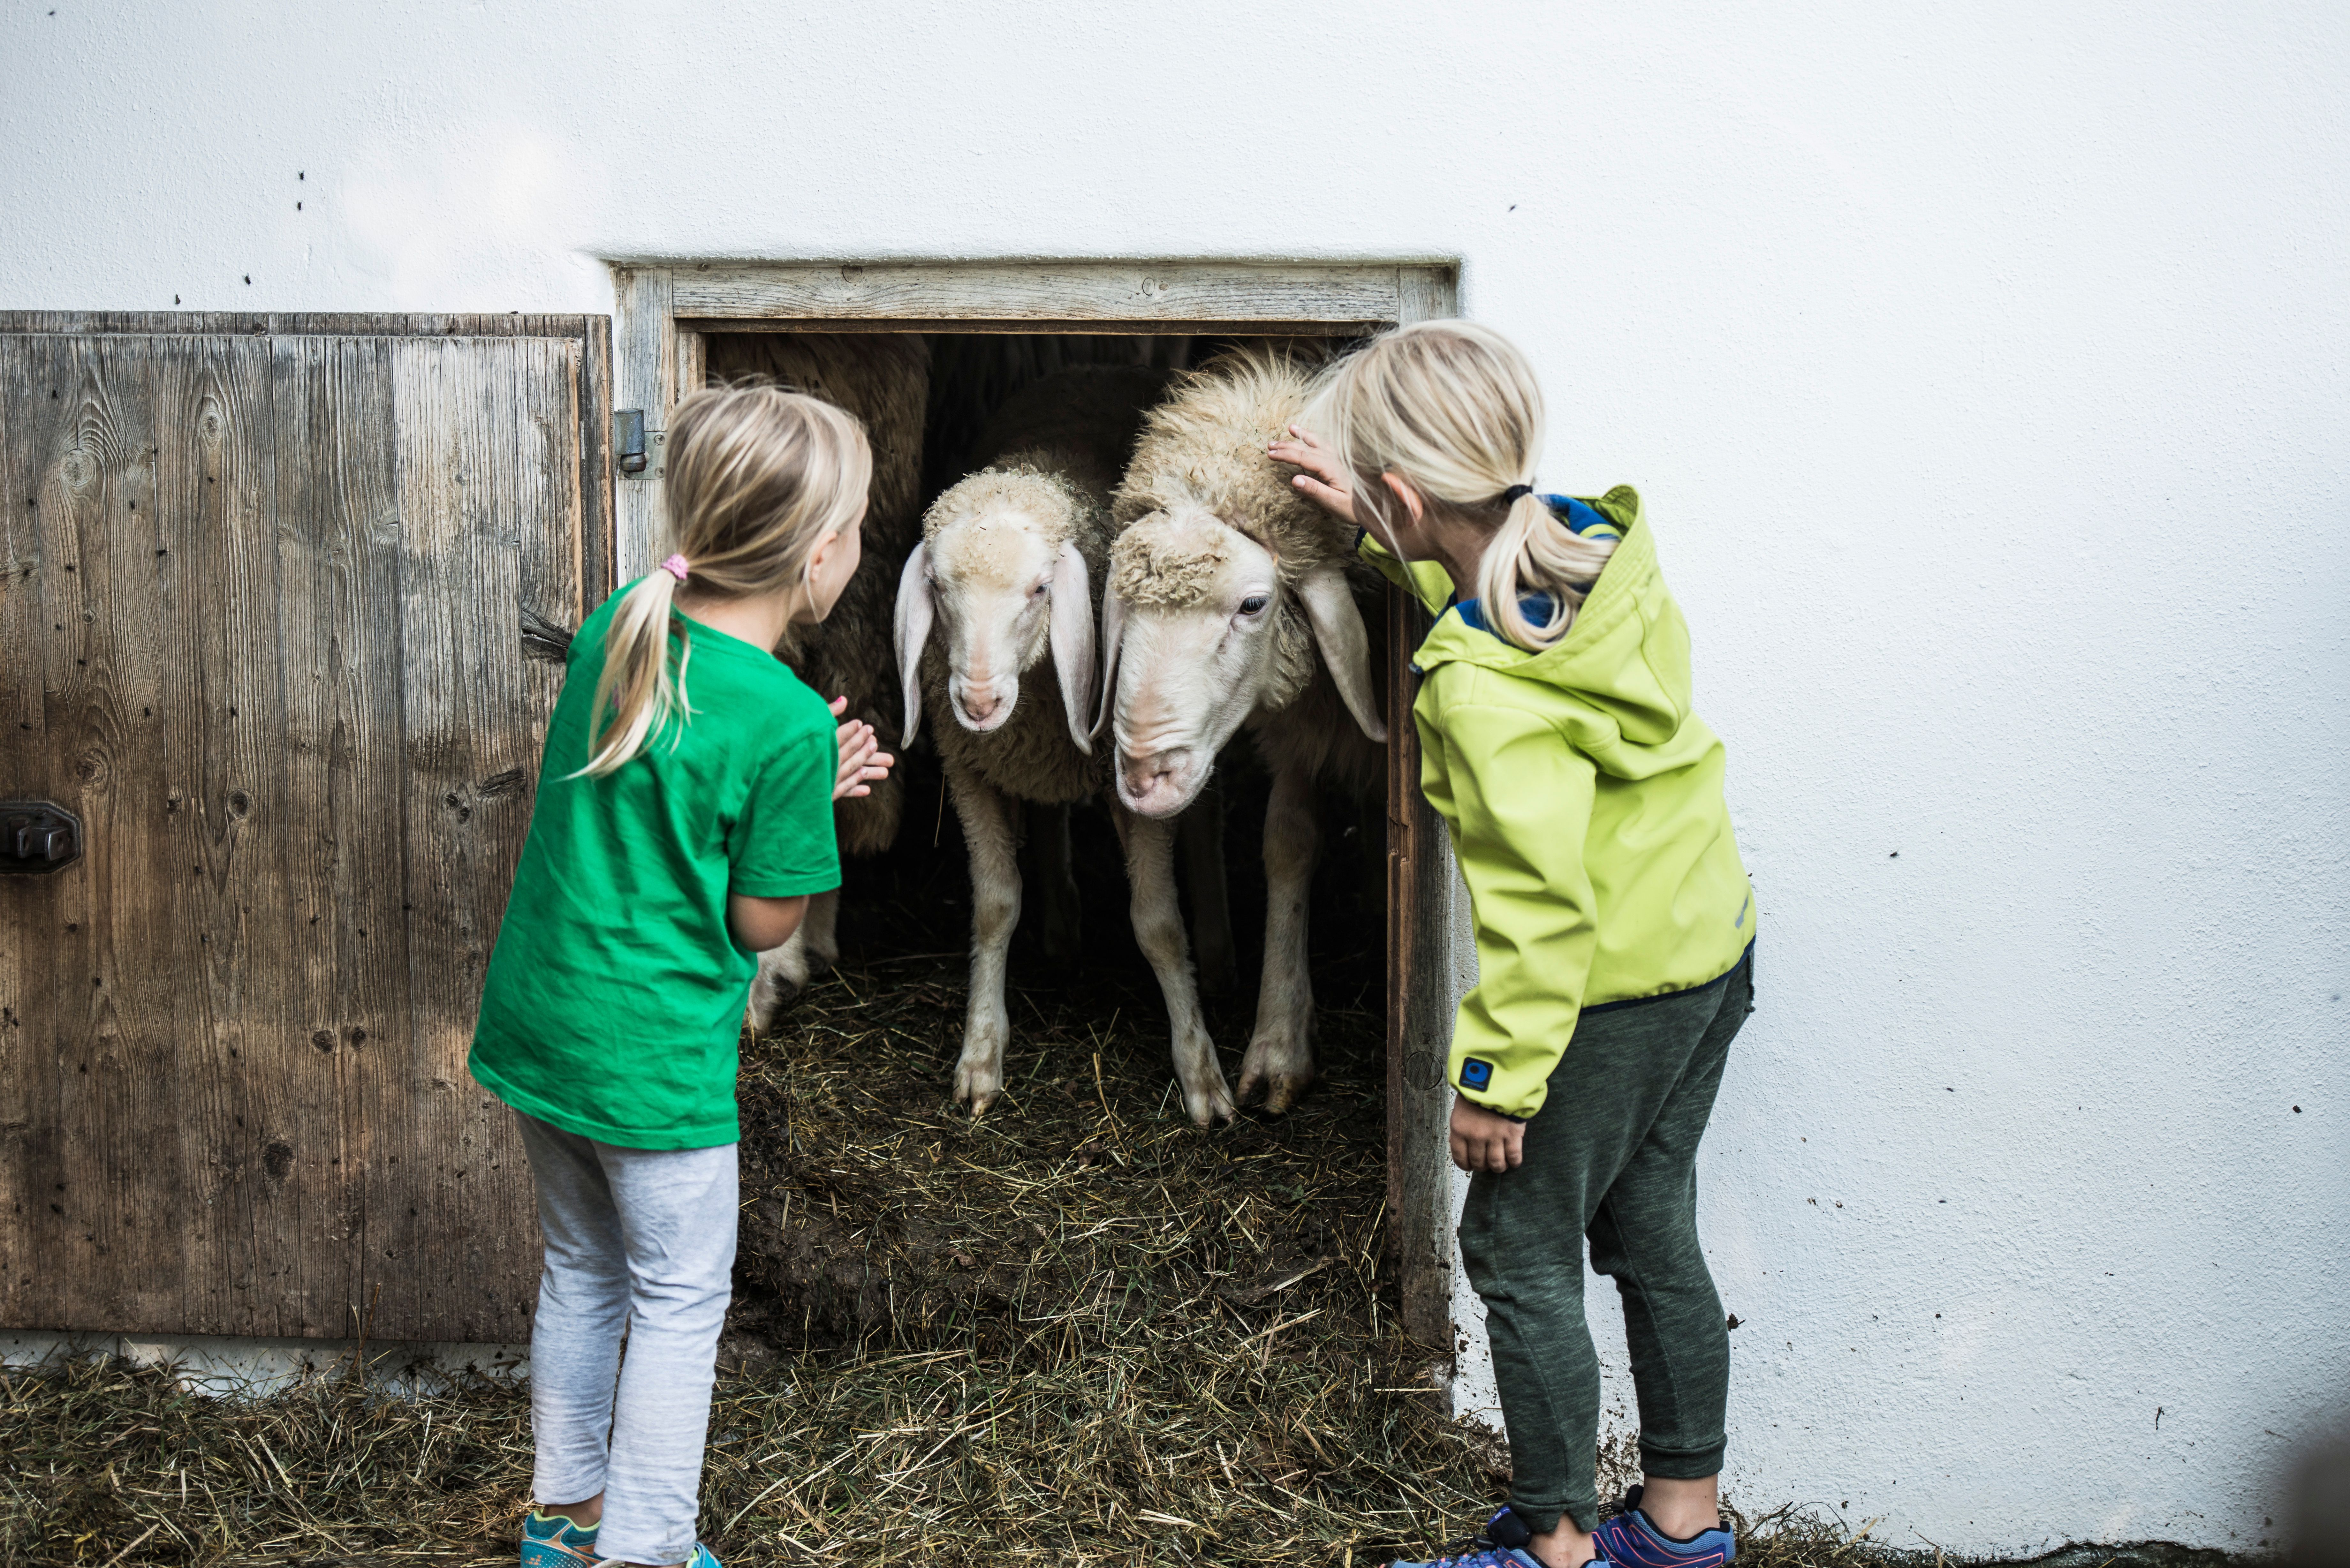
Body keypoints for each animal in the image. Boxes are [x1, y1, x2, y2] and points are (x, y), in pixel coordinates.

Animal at [1090, 350, 1382, 1124]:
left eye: (1254, 605)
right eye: (1119, 602)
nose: (1143, 775)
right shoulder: (1301, 728)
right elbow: (1287, 842)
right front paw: (1282, 1038)